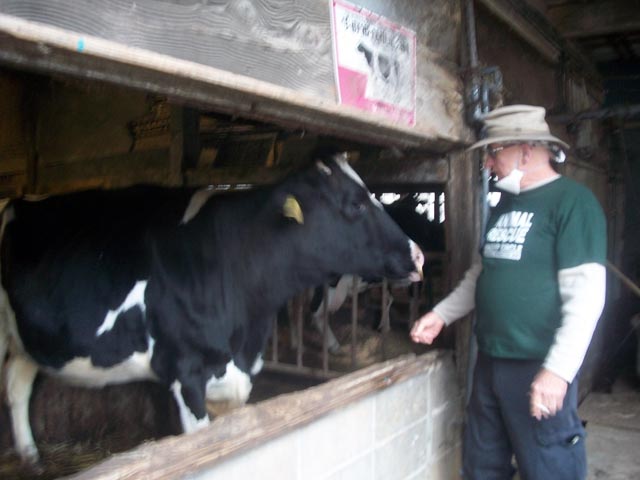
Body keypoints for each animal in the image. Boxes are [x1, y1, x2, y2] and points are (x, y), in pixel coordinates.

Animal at [0, 152, 424, 460]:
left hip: (25, 339)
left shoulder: (238, 375)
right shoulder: (185, 372)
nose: (418, 255)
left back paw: (30, 455)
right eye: (354, 205)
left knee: (18, 384)